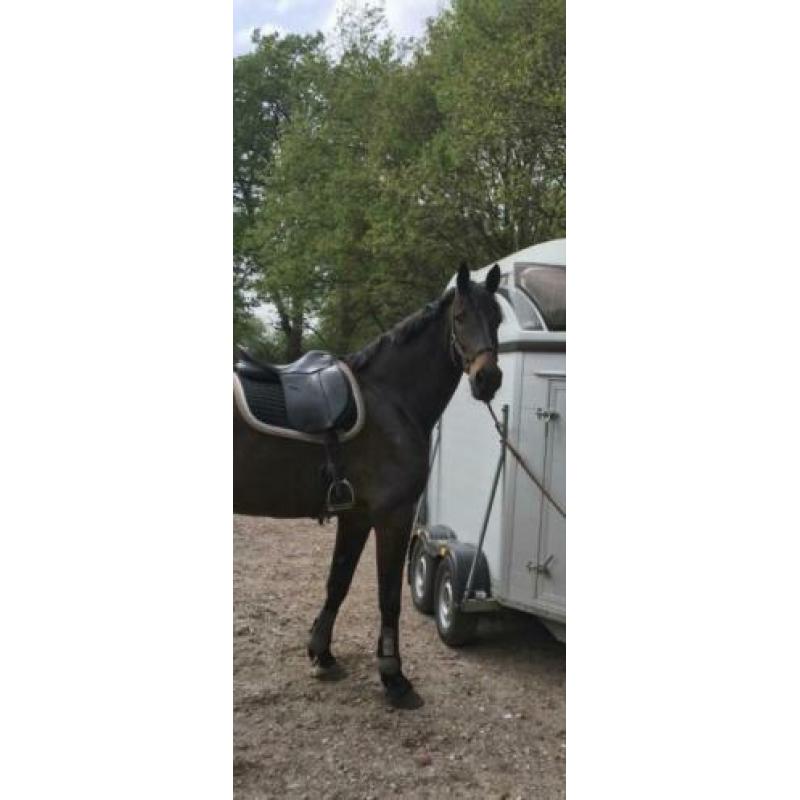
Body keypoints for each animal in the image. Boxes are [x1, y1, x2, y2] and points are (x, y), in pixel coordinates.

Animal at [233, 263, 503, 709]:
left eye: (498, 318)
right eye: (461, 317)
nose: (489, 379)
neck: (391, 399)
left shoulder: (356, 516)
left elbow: (338, 582)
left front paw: (322, 655)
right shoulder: (394, 516)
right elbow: (389, 596)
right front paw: (394, 677)